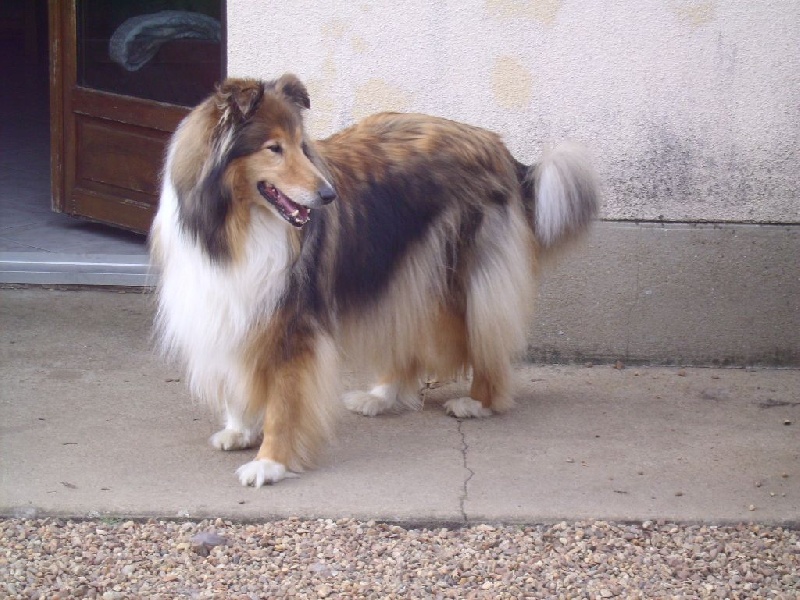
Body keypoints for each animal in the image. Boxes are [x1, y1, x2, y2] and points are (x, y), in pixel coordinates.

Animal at [152, 75, 600, 488]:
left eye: (300, 144)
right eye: (273, 147)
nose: (329, 196)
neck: (237, 226)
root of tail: (500, 147)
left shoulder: (293, 322)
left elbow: (283, 399)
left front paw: (270, 463)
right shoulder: (232, 303)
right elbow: (239, 373)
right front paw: (241, 428)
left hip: (463, 278)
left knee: (485, 336)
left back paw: (479, 402)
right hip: (410, 270)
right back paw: (382, 396)